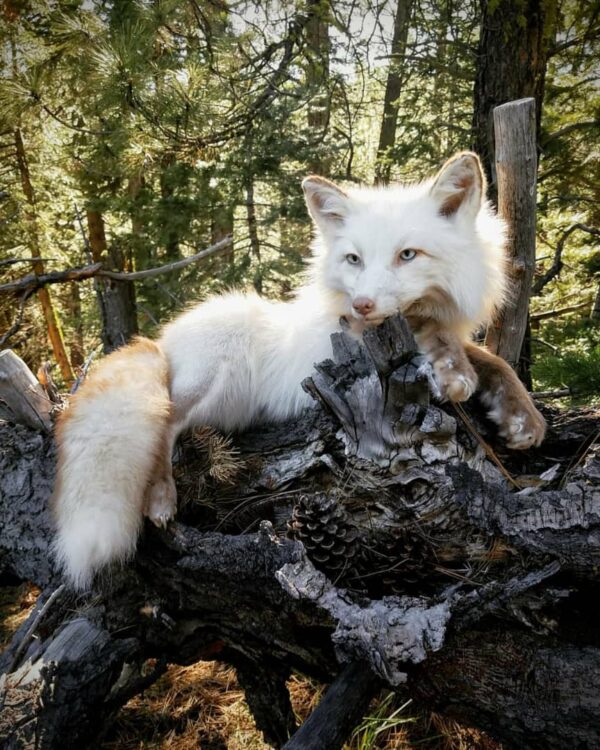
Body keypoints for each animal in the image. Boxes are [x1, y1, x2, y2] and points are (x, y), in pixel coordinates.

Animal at [52, 151, 546, 590]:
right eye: (353, 259)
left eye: (408, 255)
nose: (360, 304)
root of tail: (159, 340)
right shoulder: (349, 335)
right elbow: (434, 332)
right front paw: (452, 370)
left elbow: (495, 362)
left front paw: (521, 417)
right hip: (218, 368)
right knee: (164, 423)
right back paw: (159, 496)